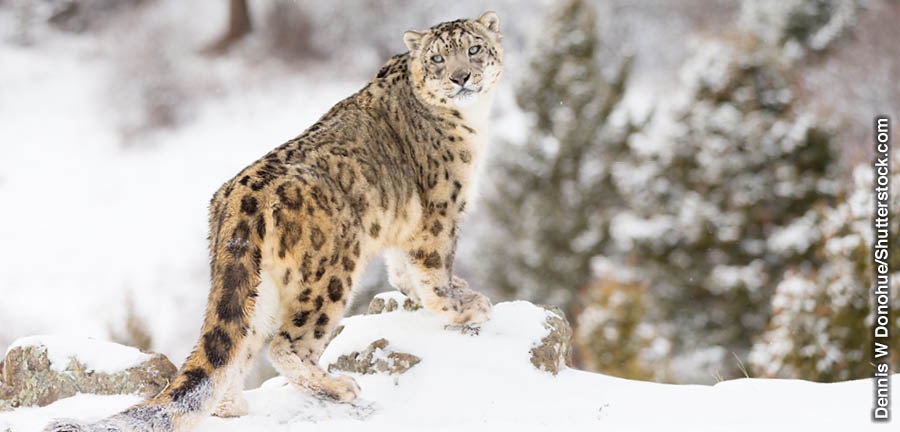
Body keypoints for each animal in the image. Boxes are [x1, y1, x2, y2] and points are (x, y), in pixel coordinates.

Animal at [46, 11, 502, 432]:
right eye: (438, 58)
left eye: (474, 49)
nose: (461, 77)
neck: (473, 122)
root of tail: (237, 200)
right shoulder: (440, 212)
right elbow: (434, 270)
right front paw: (462, 308)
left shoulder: (404, 226)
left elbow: (402, 269)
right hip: (329, 273)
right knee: (287, 344)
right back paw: (338, 386)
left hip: (255, 286)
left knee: (239, 345)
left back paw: (232, 406)